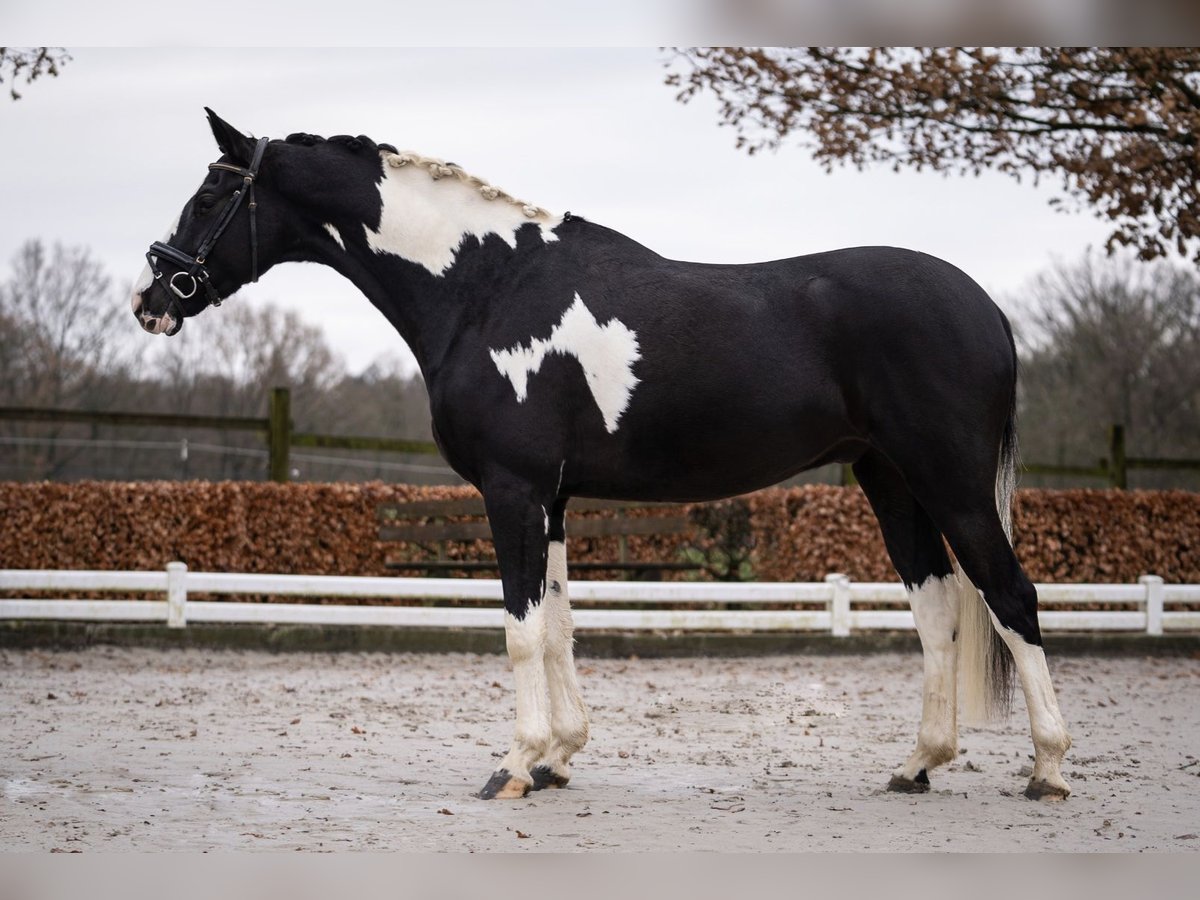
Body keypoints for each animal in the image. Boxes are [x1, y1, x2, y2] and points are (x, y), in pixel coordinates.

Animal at [136, 111, 1075, 801]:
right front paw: (559, 757)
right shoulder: (550, 500)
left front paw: (513, 767)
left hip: (950, 482)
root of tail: (987, 307)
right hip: (891, 481)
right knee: (939, 606)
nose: (153, 298)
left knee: (1011, 595)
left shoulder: (512, 492)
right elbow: (558, 627)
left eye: (212, 194)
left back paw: (1048, 770)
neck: (485, 290)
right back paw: (917, 765)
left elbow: (519, 632)